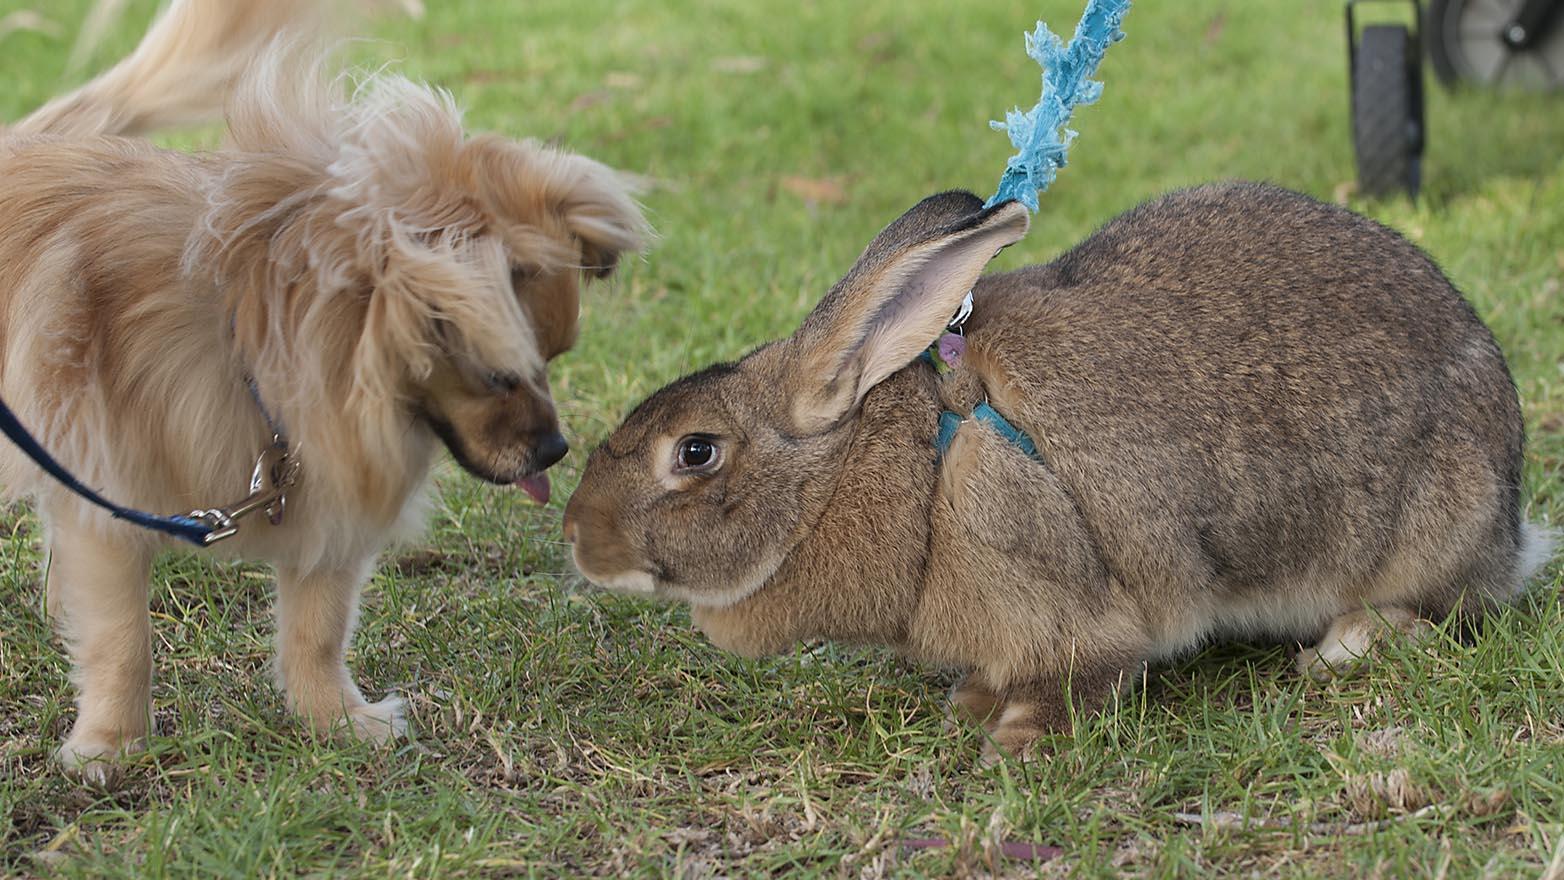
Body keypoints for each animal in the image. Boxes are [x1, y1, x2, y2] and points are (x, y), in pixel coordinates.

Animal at [1, 3, 647, 781]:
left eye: (553, 359)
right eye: (500, 374)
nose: (556, 449)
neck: (250, 337)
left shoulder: (328, 497)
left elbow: (318, 627)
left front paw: (335, 720)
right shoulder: (107, 503)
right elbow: (123, 639)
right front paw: (112, 744)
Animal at [566, 182, 1551, 759]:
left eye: (696, 451)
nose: (576, 536)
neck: (913, 468)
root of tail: (1511, 522)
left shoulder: (1051, 586)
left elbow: (1083, 674)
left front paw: (1013, 740)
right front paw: (971, 700)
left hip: (1428, 527)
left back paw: (1349, 643)